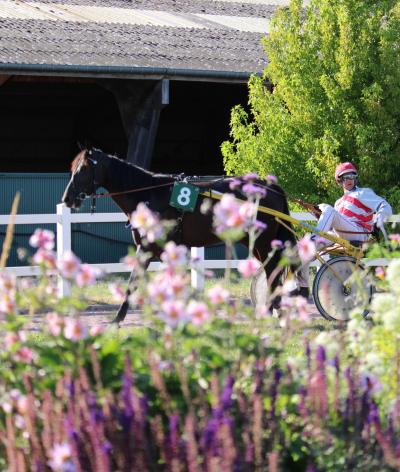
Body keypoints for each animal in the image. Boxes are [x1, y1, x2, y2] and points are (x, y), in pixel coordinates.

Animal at [61, 148, 296, 324]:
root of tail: (271, 187)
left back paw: (269, 311)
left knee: (272, 270)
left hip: (263, 240)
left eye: (83, 169)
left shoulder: (152, 247)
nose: (67, 198)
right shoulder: (155, 249)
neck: (149, 194)